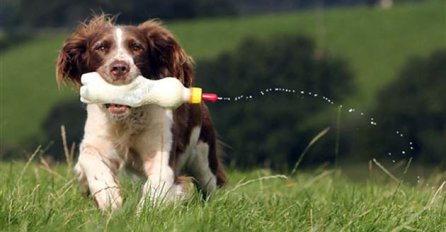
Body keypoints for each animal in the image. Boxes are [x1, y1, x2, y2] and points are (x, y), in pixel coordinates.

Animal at [56, 14, 226, 210]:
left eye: (137, 47)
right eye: (101, 47)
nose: (119, 67)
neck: (128, 119)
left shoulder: (161, 153)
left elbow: (157, 186)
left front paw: (145, 210)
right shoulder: (98, 140)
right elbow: (89, 158)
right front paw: (109, 198)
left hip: (204, 157)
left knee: (210, 183)